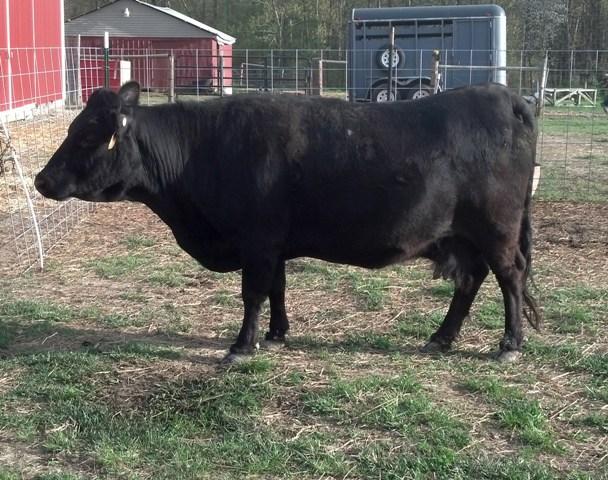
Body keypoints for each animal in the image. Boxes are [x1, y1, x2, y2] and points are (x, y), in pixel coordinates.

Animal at [35, 81, 540, 363]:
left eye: (87, 135)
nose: (42, 179)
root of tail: (504, 95)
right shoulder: (273, 244)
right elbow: (276, 288)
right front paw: (277, 334)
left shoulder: (256, 241)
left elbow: (253, 293)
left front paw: (242, 346)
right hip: (464, 236)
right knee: (471, 281)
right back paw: (441, 338)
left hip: (497, 229)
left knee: (510, 277)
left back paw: (509, 345)